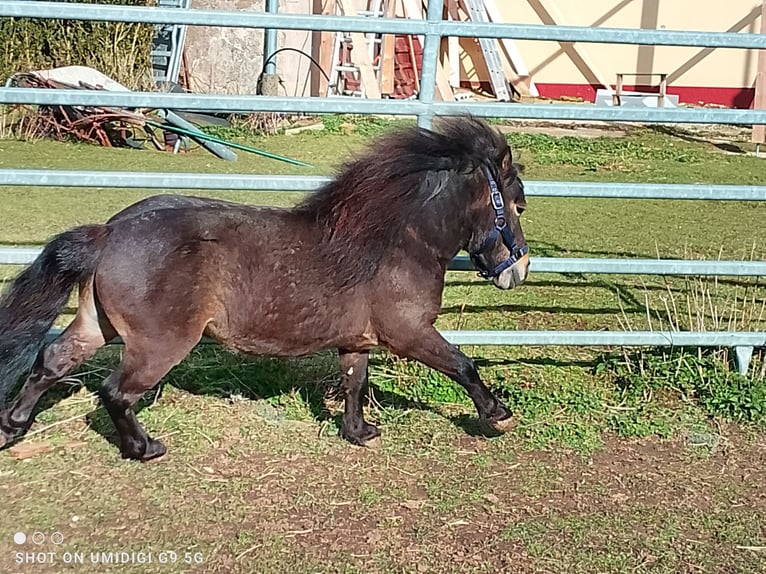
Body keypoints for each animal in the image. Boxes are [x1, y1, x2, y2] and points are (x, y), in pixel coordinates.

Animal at [0, 116, 529, 461]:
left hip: (99, 324)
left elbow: (354, 383)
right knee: (115, 392)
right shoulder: (410, 332)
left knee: (52, 361)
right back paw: (144, 448)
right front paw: (498, 414)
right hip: (158, 344)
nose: (519, 269)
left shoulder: (357, 340)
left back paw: (12, 427)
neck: (392, 242)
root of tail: (110, 232)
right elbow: (462, 364)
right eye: (518, 205)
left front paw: (359, 432)